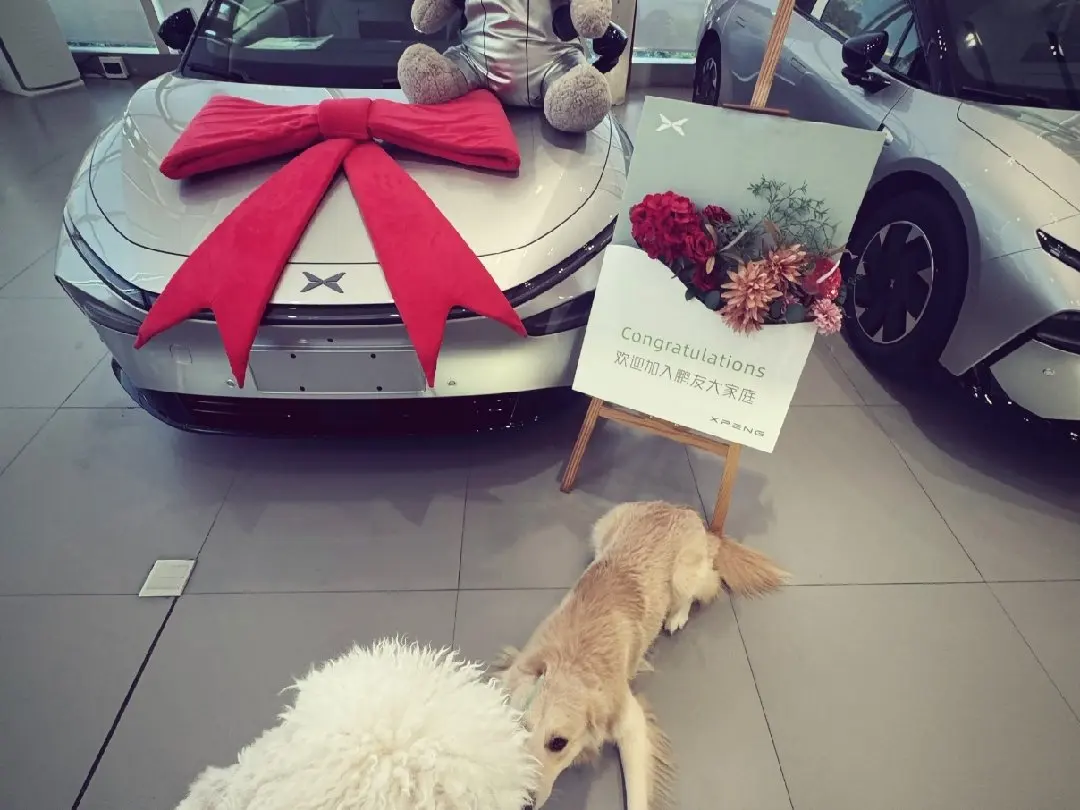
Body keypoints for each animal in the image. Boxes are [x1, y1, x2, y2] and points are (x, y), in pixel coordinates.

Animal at [492, 501, 788, 810]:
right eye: (516, 729)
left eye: (558, 742)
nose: (521, 803)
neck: (569, 660)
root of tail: (680, 509)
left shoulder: (631, 722)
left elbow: (637, 796)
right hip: (601, 529)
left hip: (683, 577)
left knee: (707, 583)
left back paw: (676, 616)